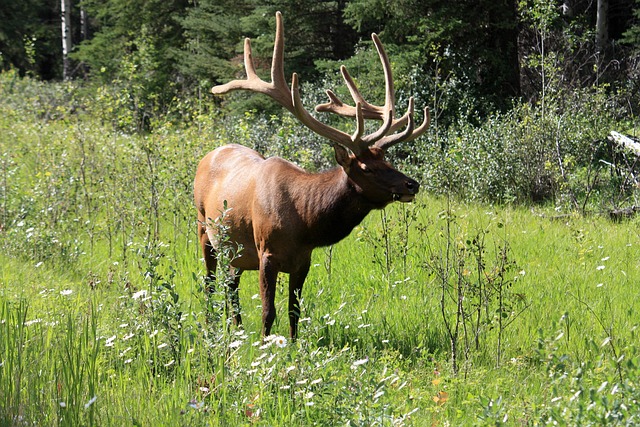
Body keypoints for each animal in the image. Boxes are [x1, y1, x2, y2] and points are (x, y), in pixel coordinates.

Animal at [194, 12, 429, 339]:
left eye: (388, 159)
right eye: (367, 168)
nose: (411, 184)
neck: (304, 222)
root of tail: (209, 154)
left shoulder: (303, 260)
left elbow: (295, 311)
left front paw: (293, 346)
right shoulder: (266, 253)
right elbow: (268, 312)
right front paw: (266, 345)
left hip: (234, 251)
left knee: (231, 285)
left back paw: (236, 329)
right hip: (204, 229)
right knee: (210, 283)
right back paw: (211, 326)